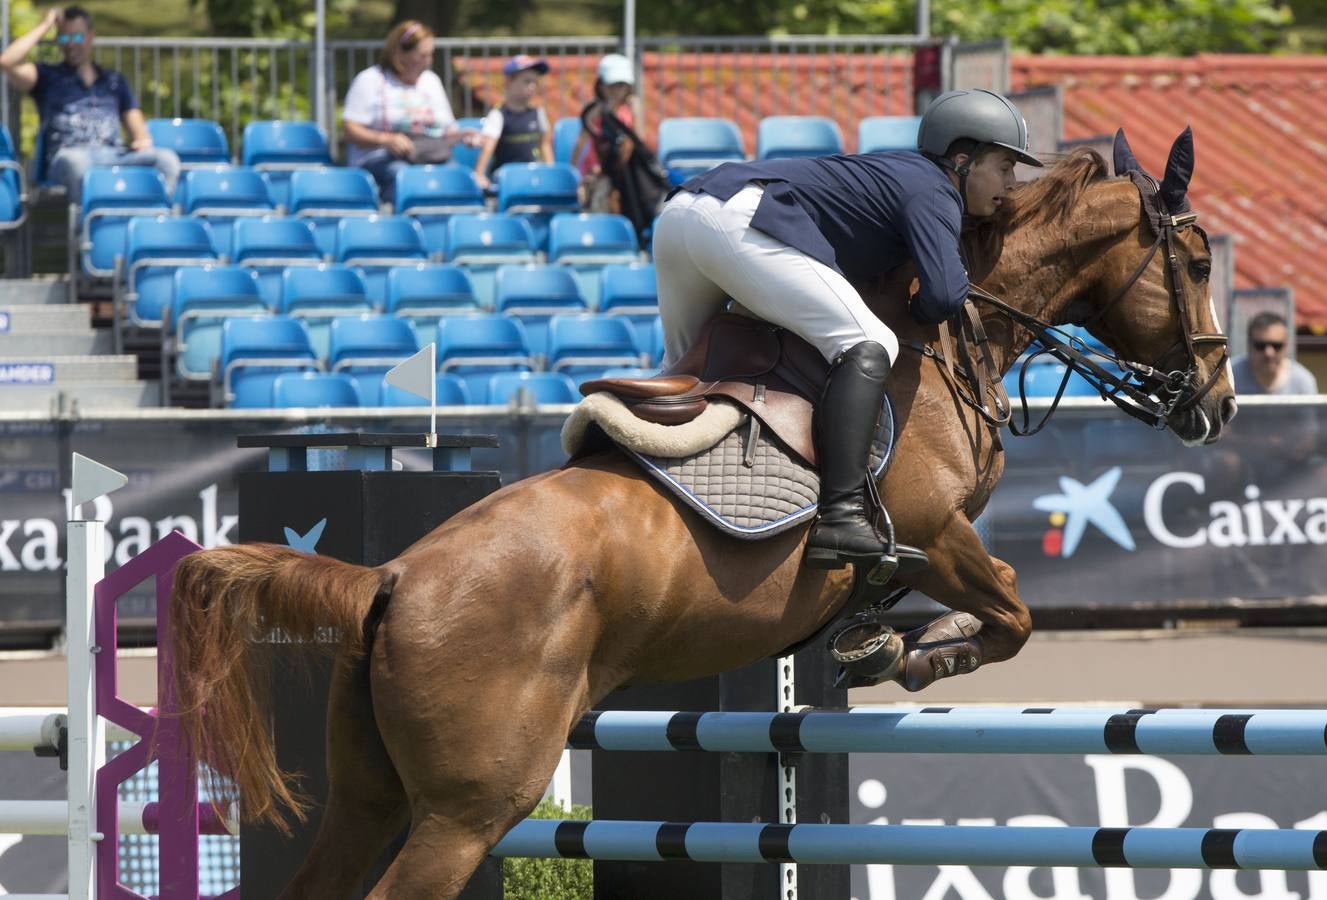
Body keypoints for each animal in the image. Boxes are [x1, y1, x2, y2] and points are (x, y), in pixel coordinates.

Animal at [171, 130, 1236, 897]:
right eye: (1195, 261)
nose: (1219, 404)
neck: (947, 338)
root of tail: (388, 578)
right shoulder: (937, 534)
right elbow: (1010, 609)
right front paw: (922, 653)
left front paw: (876, 642)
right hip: (465, 811)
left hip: (365, 798)